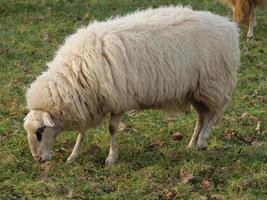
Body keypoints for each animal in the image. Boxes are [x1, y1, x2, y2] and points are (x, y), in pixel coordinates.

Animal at [23, 5, 241, 165]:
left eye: (40, 132)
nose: (38, 160)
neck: (76, 73)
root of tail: (228, 25)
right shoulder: (87, 103)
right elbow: (82, 131)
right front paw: (73, 156)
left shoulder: (118, 100)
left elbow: (112, 129)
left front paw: (111, 158)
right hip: (196, 90)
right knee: (202, 116)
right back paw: (192, 144)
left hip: (214, 83)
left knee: (216, 112)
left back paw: (203, 141)